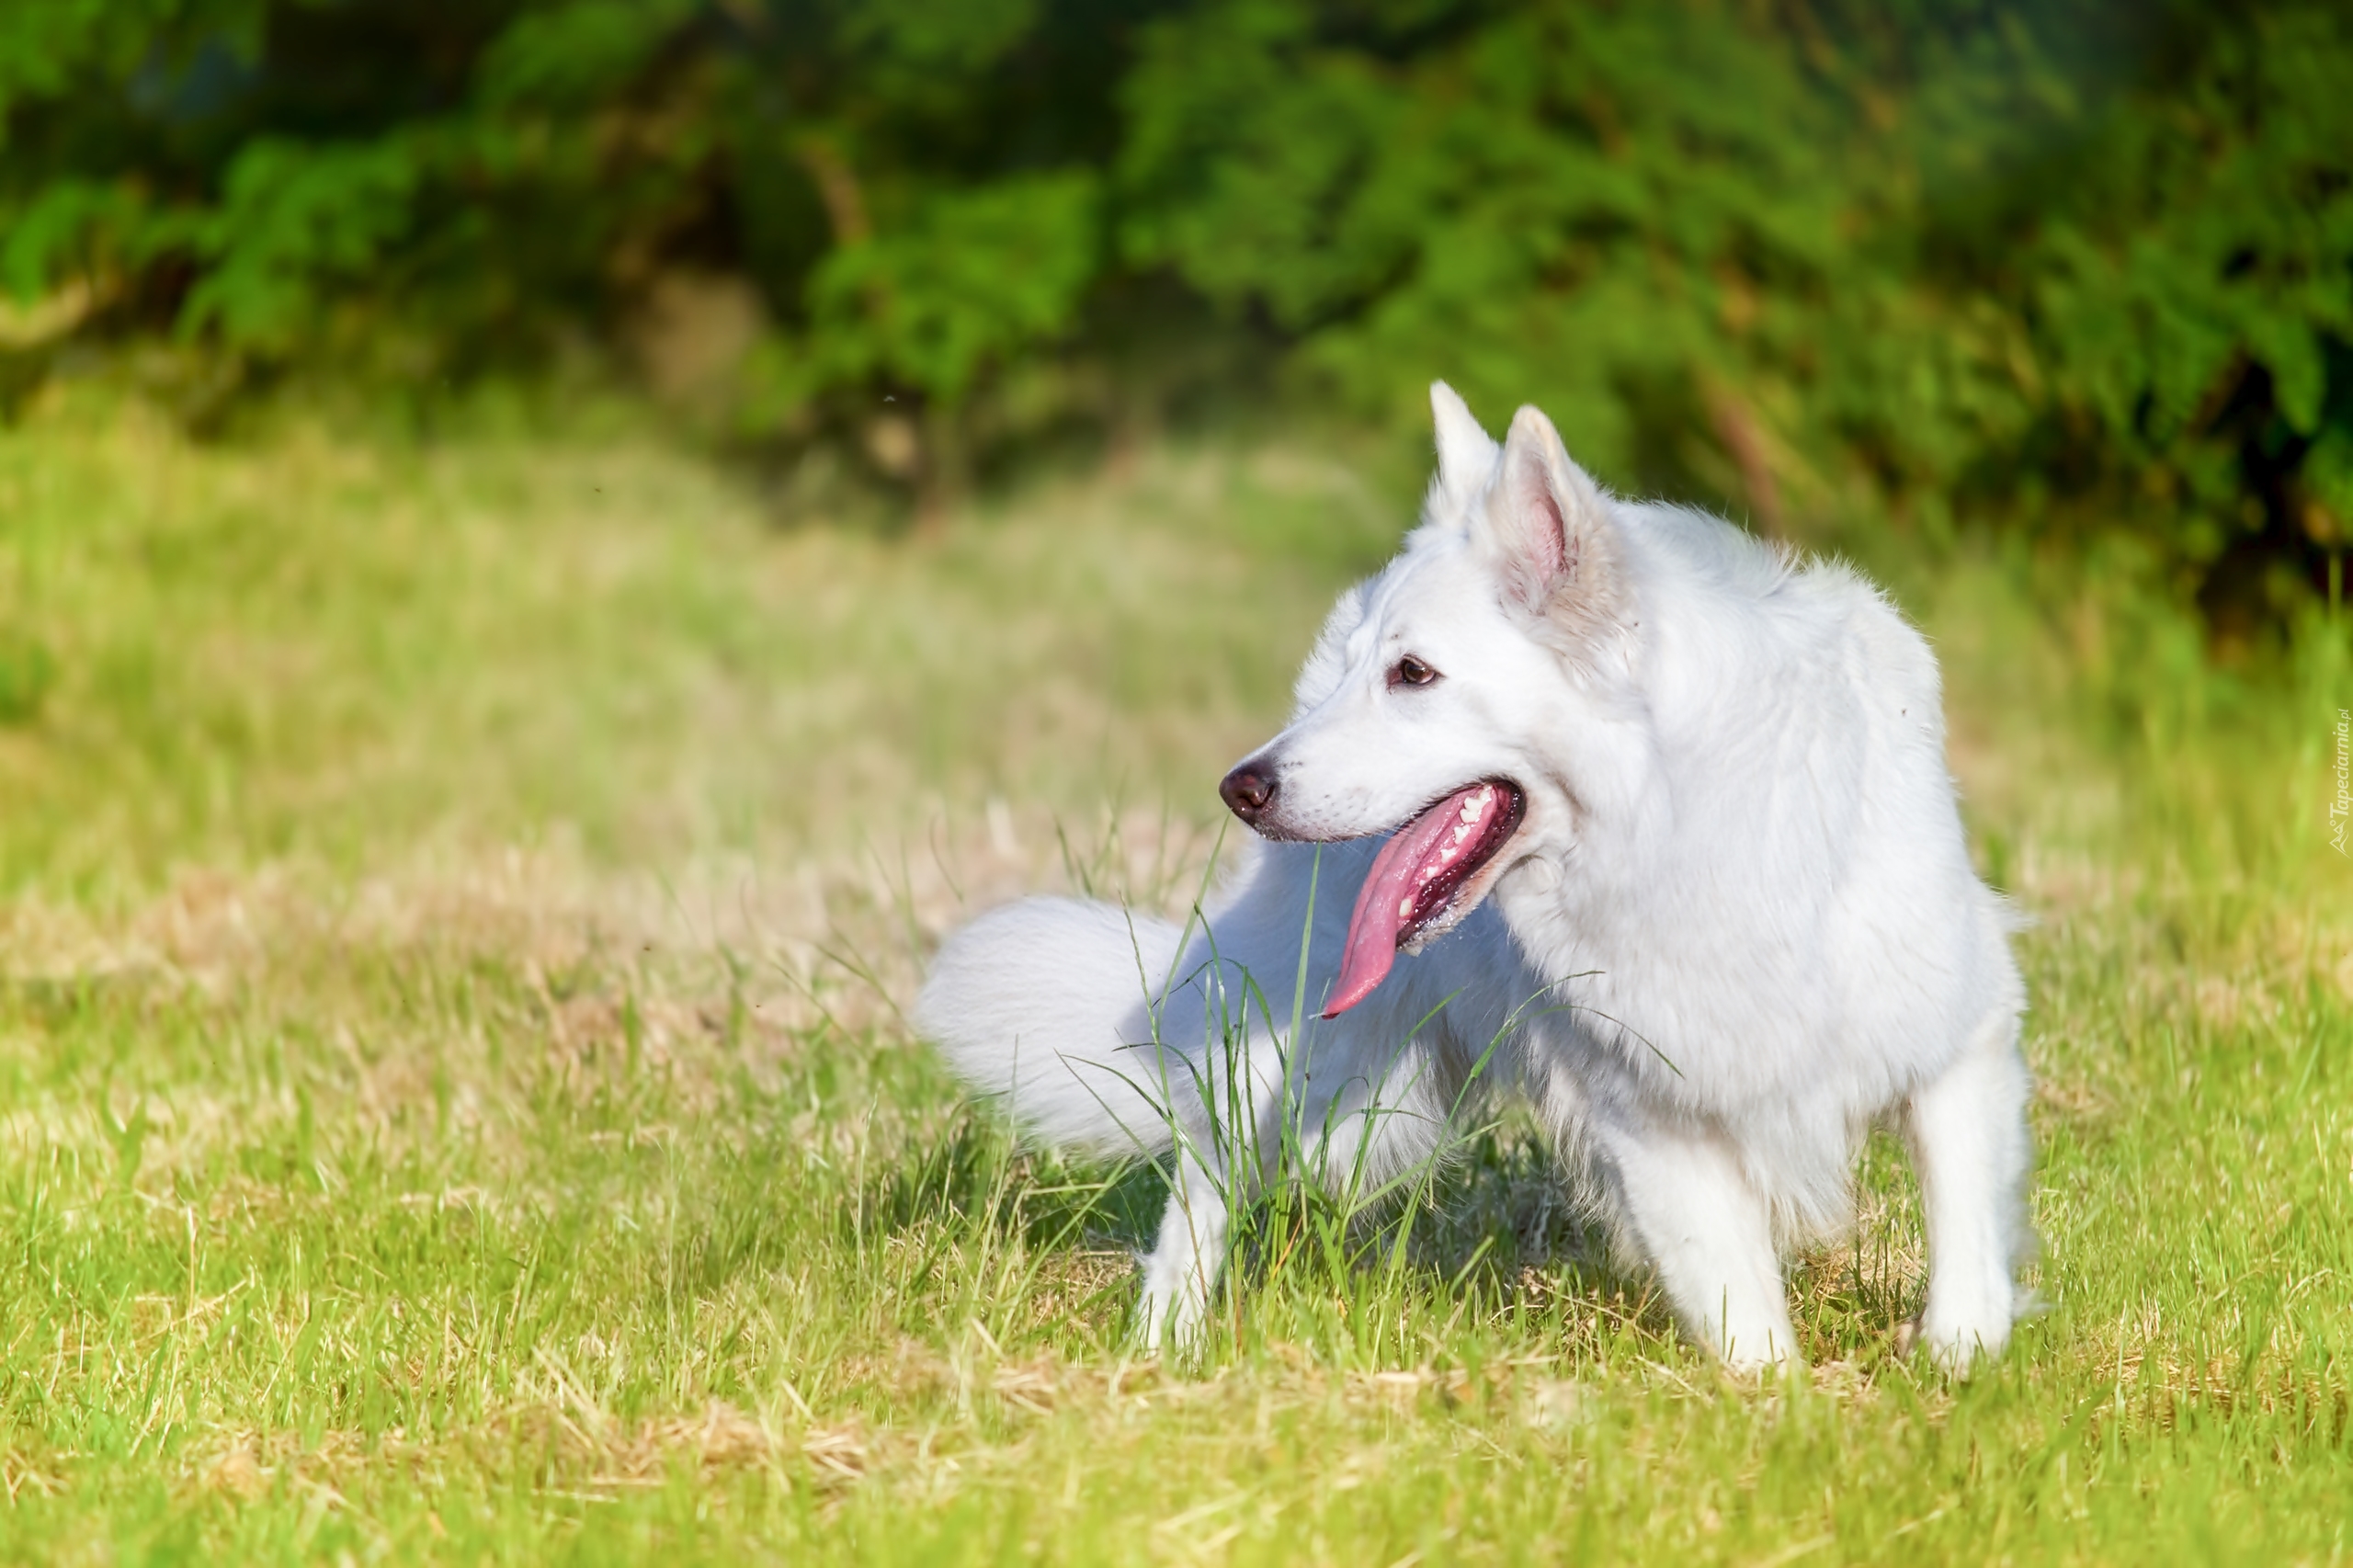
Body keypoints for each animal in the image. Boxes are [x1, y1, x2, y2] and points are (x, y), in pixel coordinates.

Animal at [908, 383, 2032, 1365]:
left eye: (1414, 675)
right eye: (1368, 672)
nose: (1242, 787)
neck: (1691, 823)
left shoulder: (1954, 1041)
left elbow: (1963, 1246)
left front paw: (1956, 1367)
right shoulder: (1659, 1131)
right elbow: (1750, 1329)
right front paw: (1784, 1415)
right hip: (1323, 1083)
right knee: (1202, 1176)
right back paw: (1164, 1345)